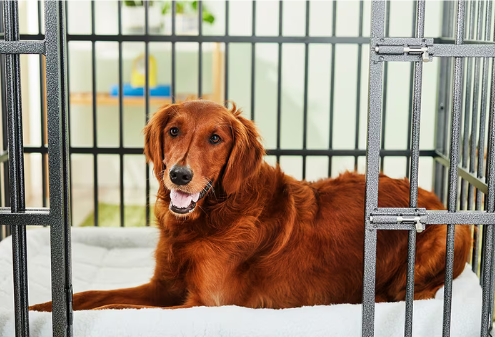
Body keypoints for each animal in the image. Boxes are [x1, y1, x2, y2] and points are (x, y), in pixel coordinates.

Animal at [31, 99, 472, 310]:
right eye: (173, 130)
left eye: (215, 138)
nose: (179, 175)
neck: (210, 218)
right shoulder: (163, 286)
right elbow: (91, 297)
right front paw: (42, 308)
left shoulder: (202, 303)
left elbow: (114, 307)